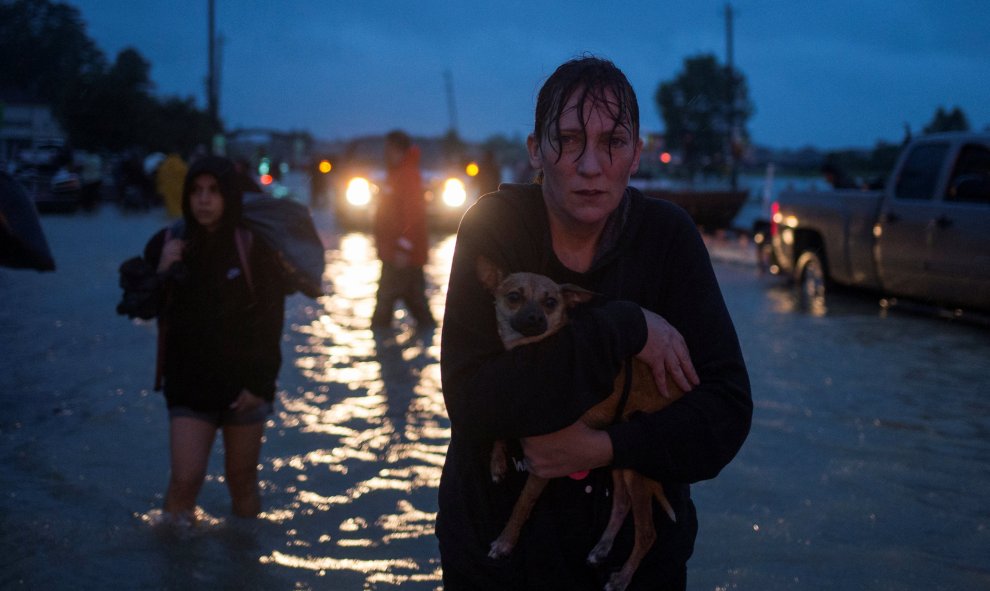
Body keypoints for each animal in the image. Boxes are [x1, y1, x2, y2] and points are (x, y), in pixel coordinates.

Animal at [476, 256, 684, 591]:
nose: (534, 317)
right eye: (514, 297)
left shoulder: (545, 464)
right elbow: (502, 422)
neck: (533, 352)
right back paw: (601, 549)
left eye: (551, 302)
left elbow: (522, 504)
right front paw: (497, 462)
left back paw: (621, 578)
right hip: (618, 459)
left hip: (635, 471)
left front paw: (506, 542)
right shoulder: (516, 402)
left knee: (647, 533)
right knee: (621, 503)